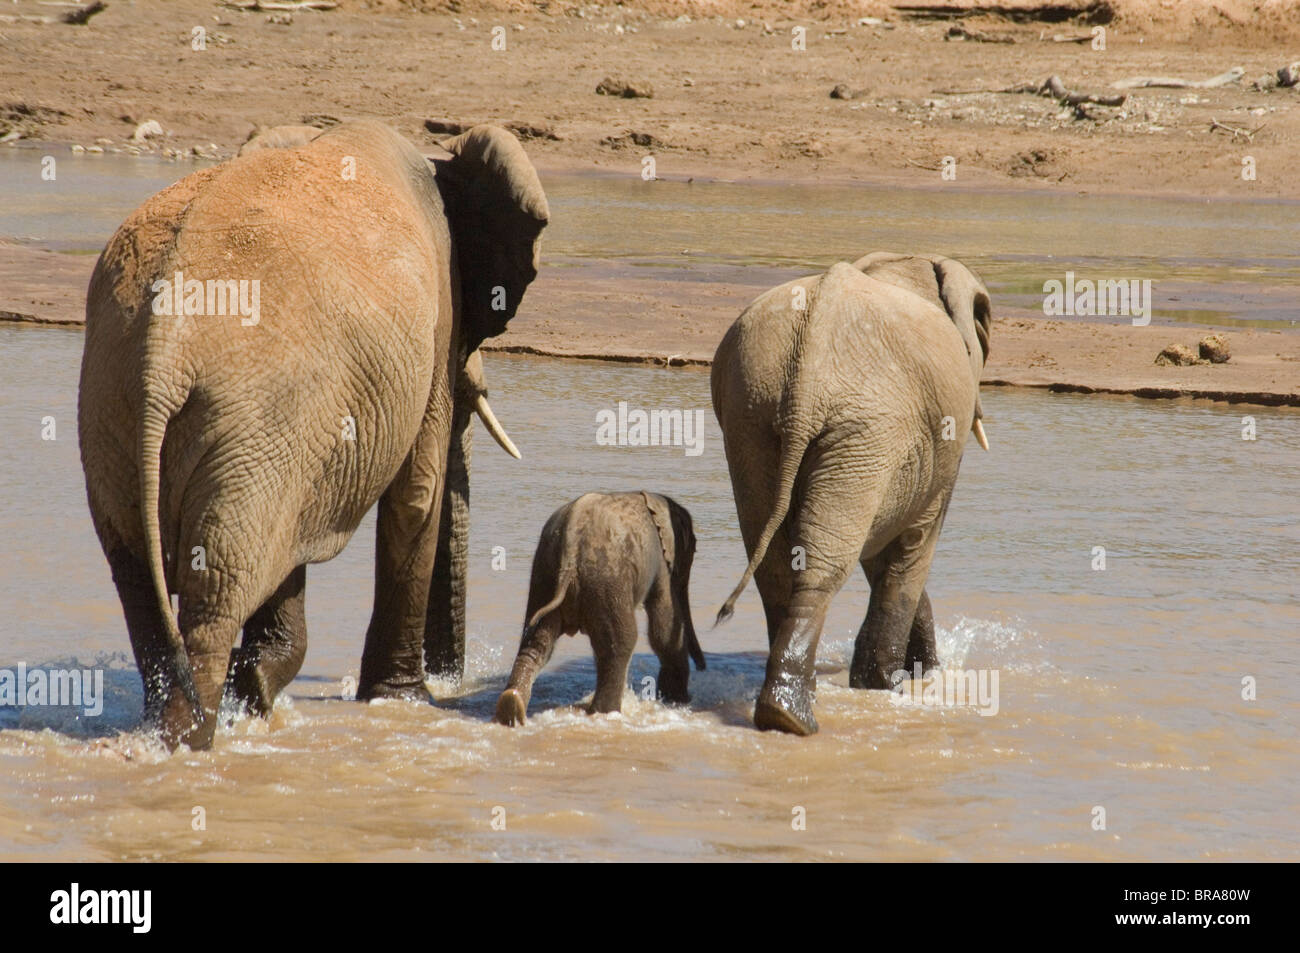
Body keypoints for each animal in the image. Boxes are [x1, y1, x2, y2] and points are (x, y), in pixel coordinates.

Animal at [79, 118, 548, 748]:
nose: (452, 682)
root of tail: (162, 355)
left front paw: (262, 682)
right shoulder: (433, 322)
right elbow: (416, 493)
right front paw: (402, 702)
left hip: (118, 413)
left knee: (140, 583)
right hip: (248, 412)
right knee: (215, 594)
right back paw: (193, 742)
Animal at [493, 491, 702, 722]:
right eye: (693, 549)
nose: (702, 666)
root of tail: (570, 543)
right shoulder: (661, 566)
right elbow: (663, 626)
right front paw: (678, 700)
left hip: (545, 573)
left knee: (536, 641)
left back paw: (510, 706)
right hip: (606, 578)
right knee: (621, 641)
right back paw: (606, 713)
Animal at [707, 250, 987, 738]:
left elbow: (881, 550)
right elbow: (912, 546)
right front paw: (895, 684)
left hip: (754, 416)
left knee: (777, 563)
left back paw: (782, 711)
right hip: (862, 425)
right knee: (824, 563)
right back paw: (797, 718)